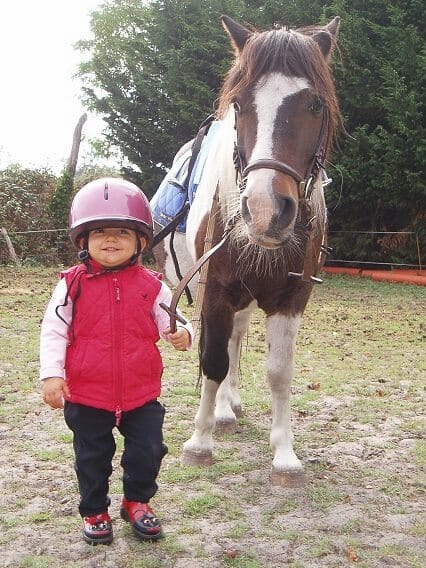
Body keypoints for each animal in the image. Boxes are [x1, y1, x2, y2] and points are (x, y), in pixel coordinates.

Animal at [153, 15, 342, 486]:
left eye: (315, 105)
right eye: (238, 105)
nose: (264, 209)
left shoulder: (292, 298)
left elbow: (279, 372)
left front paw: (285, 456)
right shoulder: (216, 290)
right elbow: (212, 360)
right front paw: (200, 443)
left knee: (237, 339)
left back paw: (230, 405)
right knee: (223, 347)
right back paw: (220, 412)